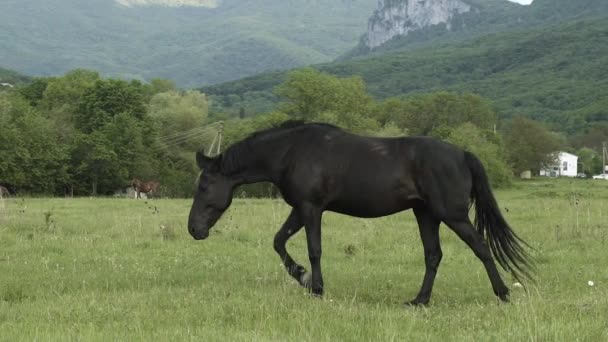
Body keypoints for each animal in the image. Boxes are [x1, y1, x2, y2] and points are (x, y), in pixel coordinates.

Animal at [186, 121, 532, 304]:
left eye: (203, 186)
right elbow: (279, 241)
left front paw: (316, 286)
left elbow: (314, 249)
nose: (193, 229)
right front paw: (302, 276)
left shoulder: (311, 208)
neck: (291, 152)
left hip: (452, 215)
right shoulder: (300, 209)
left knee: (481, 247)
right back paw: (419, 301)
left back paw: (502, 293)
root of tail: (462, 153)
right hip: (426, 214)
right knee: (434, 255)